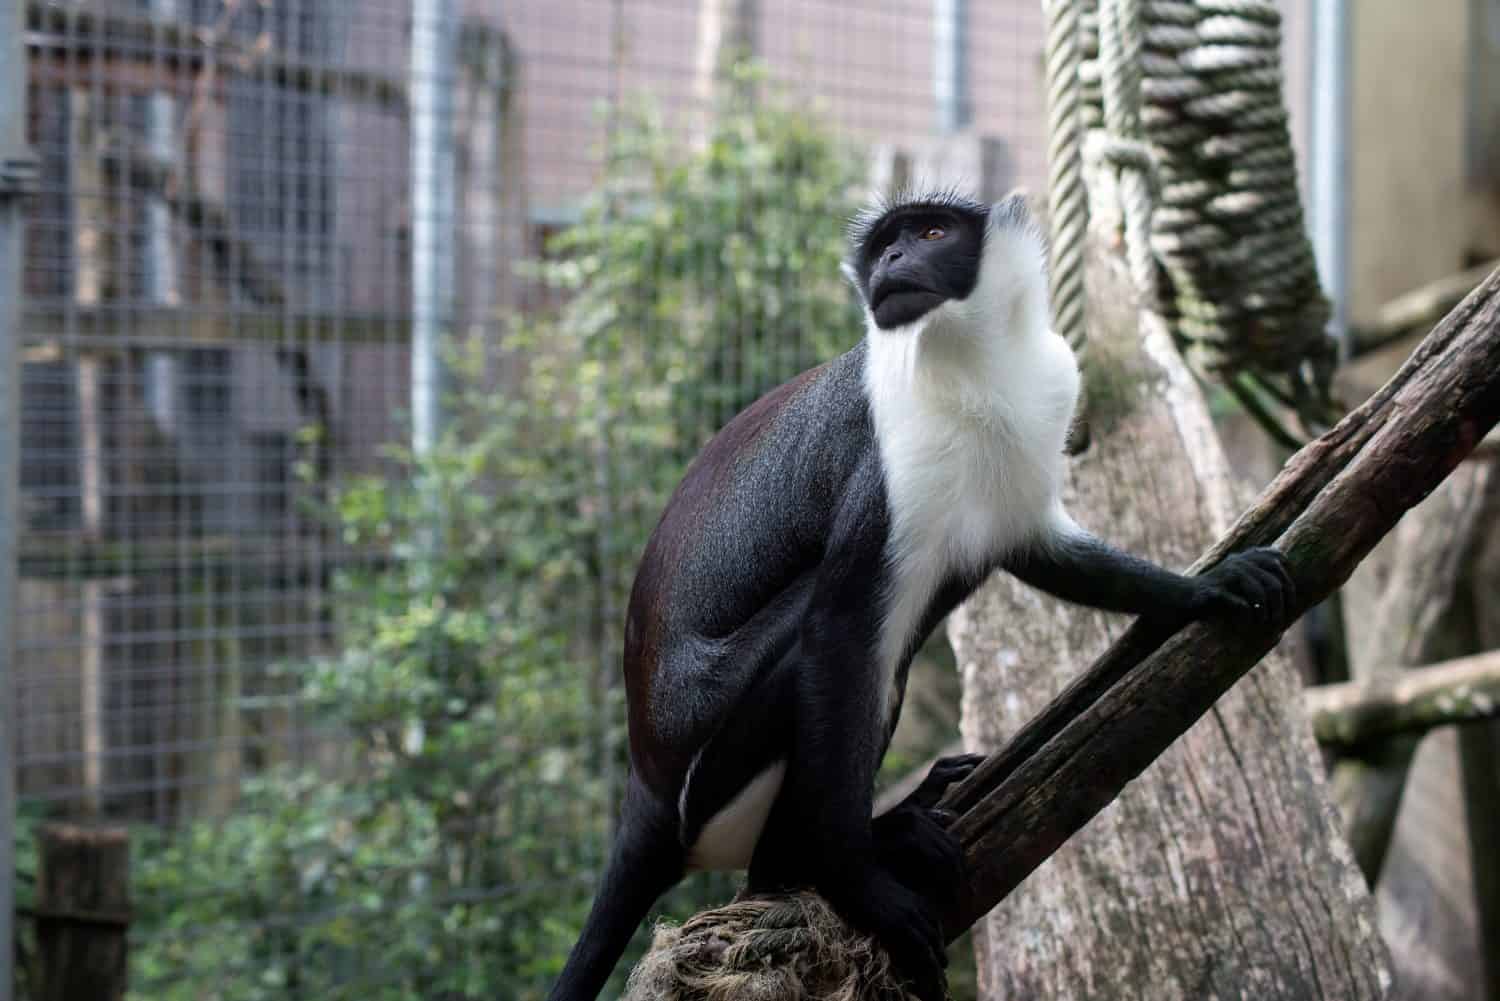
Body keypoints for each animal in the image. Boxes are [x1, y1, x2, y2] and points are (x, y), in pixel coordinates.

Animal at [547, 190, 1296, 1001]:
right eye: (884, 245)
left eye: (933, 231)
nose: (896, 260)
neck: (976, 360)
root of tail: (644, 796)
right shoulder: (886, 470)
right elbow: (837, 630)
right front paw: (859, 886)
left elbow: (1045, 554)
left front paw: (1206, 588)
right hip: (710, 773)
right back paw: (826, 854)